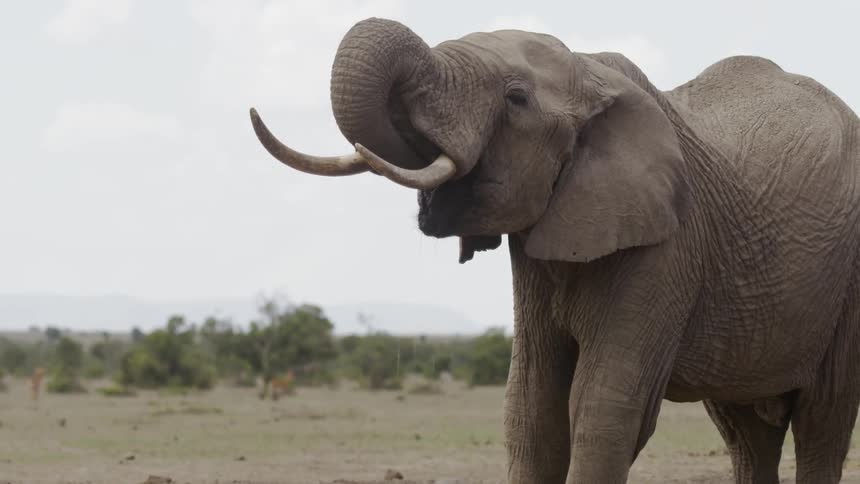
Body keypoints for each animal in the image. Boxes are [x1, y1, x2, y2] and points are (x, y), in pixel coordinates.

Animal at [248, 18, 860, 484]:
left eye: (516, 99)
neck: (593, 76)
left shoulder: (669, 244)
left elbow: (601, 406)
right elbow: (531, 409)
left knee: (822, 419)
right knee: (746, 430)